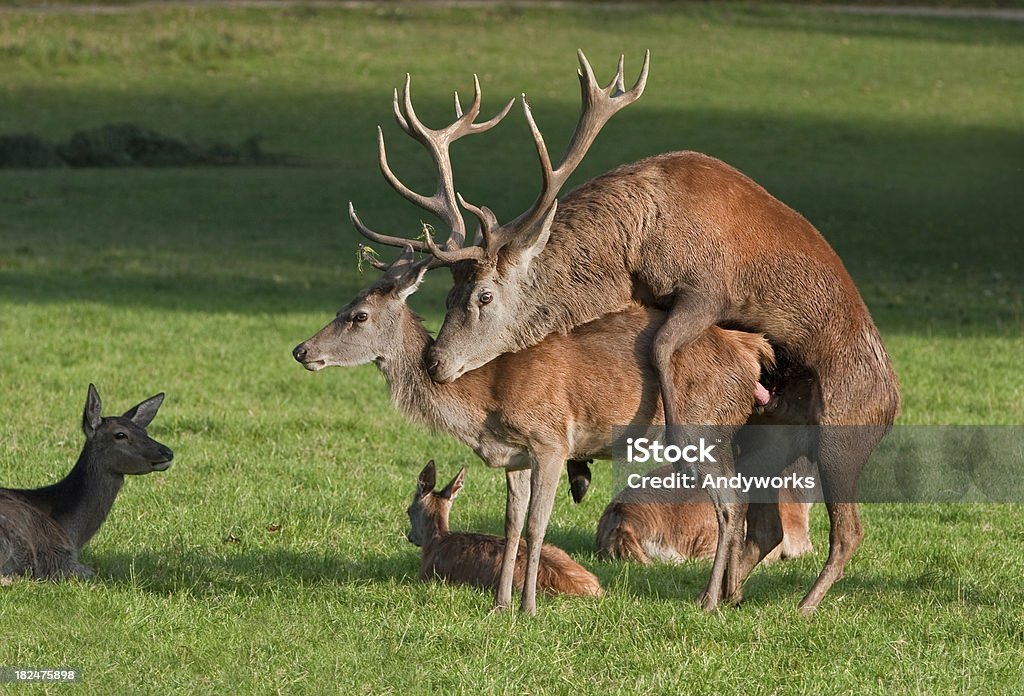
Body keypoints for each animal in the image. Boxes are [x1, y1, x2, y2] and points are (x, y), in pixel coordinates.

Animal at [0, 386, 172, 581]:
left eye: (145, 432)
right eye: (120, 434)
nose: (168, 452)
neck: (71, 532)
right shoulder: (60, 559)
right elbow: (90, 571)